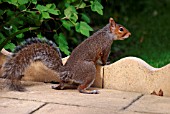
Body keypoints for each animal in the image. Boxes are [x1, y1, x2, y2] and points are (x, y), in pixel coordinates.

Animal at [1, 17, 131, 94]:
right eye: (121, 29)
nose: (129, 34)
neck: (107, 33)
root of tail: (66, 71)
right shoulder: (105, 47)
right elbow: (103, 58)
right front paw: (106, 63)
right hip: (89, 69)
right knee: (80, 89)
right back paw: (89, 91)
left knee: (64, 85)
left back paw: (58, 86)